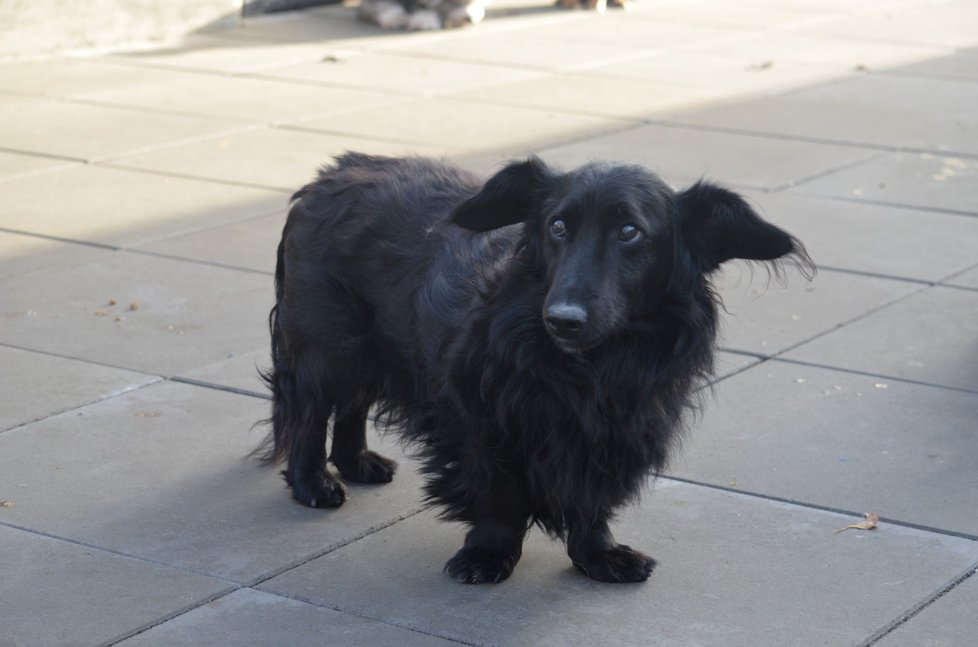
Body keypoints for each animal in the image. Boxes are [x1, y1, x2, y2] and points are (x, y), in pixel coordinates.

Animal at [258, 153, 808, 588]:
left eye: (630, 231)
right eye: (557, 226)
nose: (562, 319)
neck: (589, 368)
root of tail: (331, 173)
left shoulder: (614, 433)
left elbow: (591, 502)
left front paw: (598, 555)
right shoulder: (480, 422)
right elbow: (499, 496)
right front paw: (487, 554)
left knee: (351, 406)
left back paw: (356, 463)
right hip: (326, 346)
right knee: (311, 413)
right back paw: (313, 484)